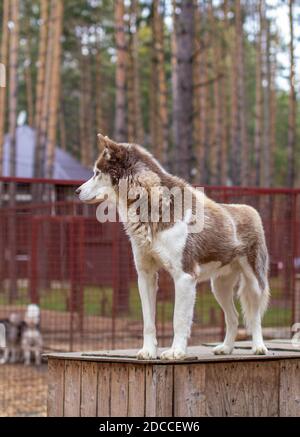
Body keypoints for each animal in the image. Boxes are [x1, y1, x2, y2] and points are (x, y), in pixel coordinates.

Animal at [75, 135, 270, 360]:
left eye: (97, 173)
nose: (76, 191)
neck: (150, 205)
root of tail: (251, 210)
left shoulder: (184, 277)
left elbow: (179, 320)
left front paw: (176, 352)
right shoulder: (146, 276)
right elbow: (148, 322)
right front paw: (148, 351)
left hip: (254, 283)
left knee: (254, 317)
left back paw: (259, 347)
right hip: (219, 287)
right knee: (234, 317)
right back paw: (226, 348)